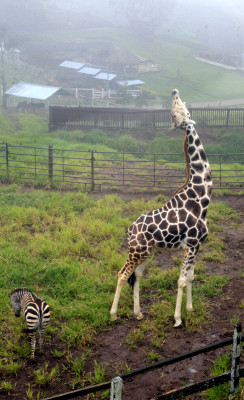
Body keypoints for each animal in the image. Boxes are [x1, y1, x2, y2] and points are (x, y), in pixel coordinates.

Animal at [109, 89, 213, 326]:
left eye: (178, 109)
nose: (174, 91)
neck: (201, 198)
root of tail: (129, 231)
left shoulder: (196, 246)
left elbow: (191, 277)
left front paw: (190, 309)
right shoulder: (190, 245)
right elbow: (181, 281)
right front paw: (178, 319)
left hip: (146, 252)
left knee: (137, 276)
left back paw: (138, 313)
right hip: (137, 251)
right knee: (122, 274)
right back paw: (113, 314)